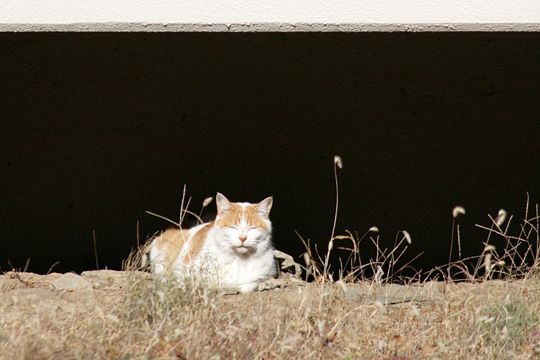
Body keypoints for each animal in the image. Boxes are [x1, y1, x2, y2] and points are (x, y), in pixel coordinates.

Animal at [146, 193, 276, 292]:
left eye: (252, 228)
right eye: (233, 227)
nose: (242, 238)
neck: (240, 260)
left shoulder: (264, 275)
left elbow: (249, 284)